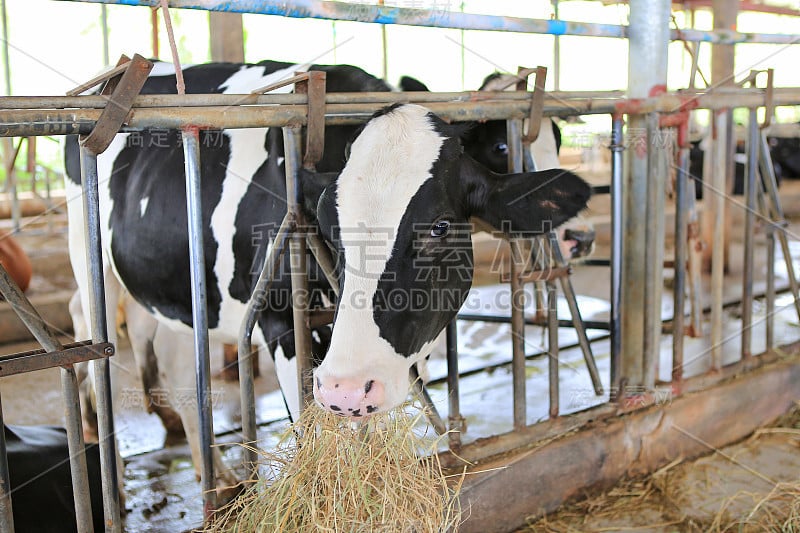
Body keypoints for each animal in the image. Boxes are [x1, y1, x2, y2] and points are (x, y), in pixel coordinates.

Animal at [62, 60, 588, 488]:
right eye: (327, 225)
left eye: (440, 226)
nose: (580, 238)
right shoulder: (281, 323)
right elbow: (314, 426)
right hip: (89, 256)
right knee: (89, 329)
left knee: (176, 362)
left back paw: (217, 475)